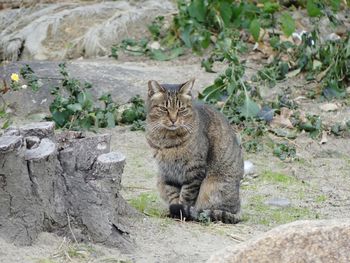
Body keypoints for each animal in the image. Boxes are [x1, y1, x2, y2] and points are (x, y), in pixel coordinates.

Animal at [145, 79, 243, 225]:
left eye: (181, 109)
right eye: (164, 109)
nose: (173, 120)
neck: (167, 139)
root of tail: (239, 208)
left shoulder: (194, 171)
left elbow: (186, 197)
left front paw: (180, 213)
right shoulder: (167, 171)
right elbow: (172, 194)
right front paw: (173, 211)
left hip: (213, 186)